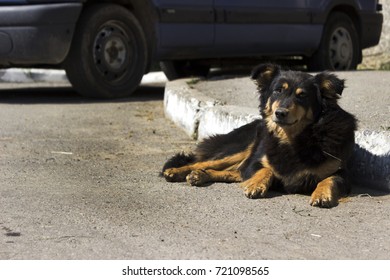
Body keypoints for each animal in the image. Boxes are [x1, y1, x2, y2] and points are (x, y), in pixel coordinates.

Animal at [163, 64, 358, 208]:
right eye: (278, 91)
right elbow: (266, 169)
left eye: (302, 95)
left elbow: (330, 179)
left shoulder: (342, 172)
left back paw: (200, 176)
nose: (280, 113)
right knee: (203, 163)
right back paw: (176, 172)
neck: (293, 140)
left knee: (231, 172)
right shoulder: (256, 161)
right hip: (241, 148)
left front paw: (322, 194)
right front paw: (256, 185)